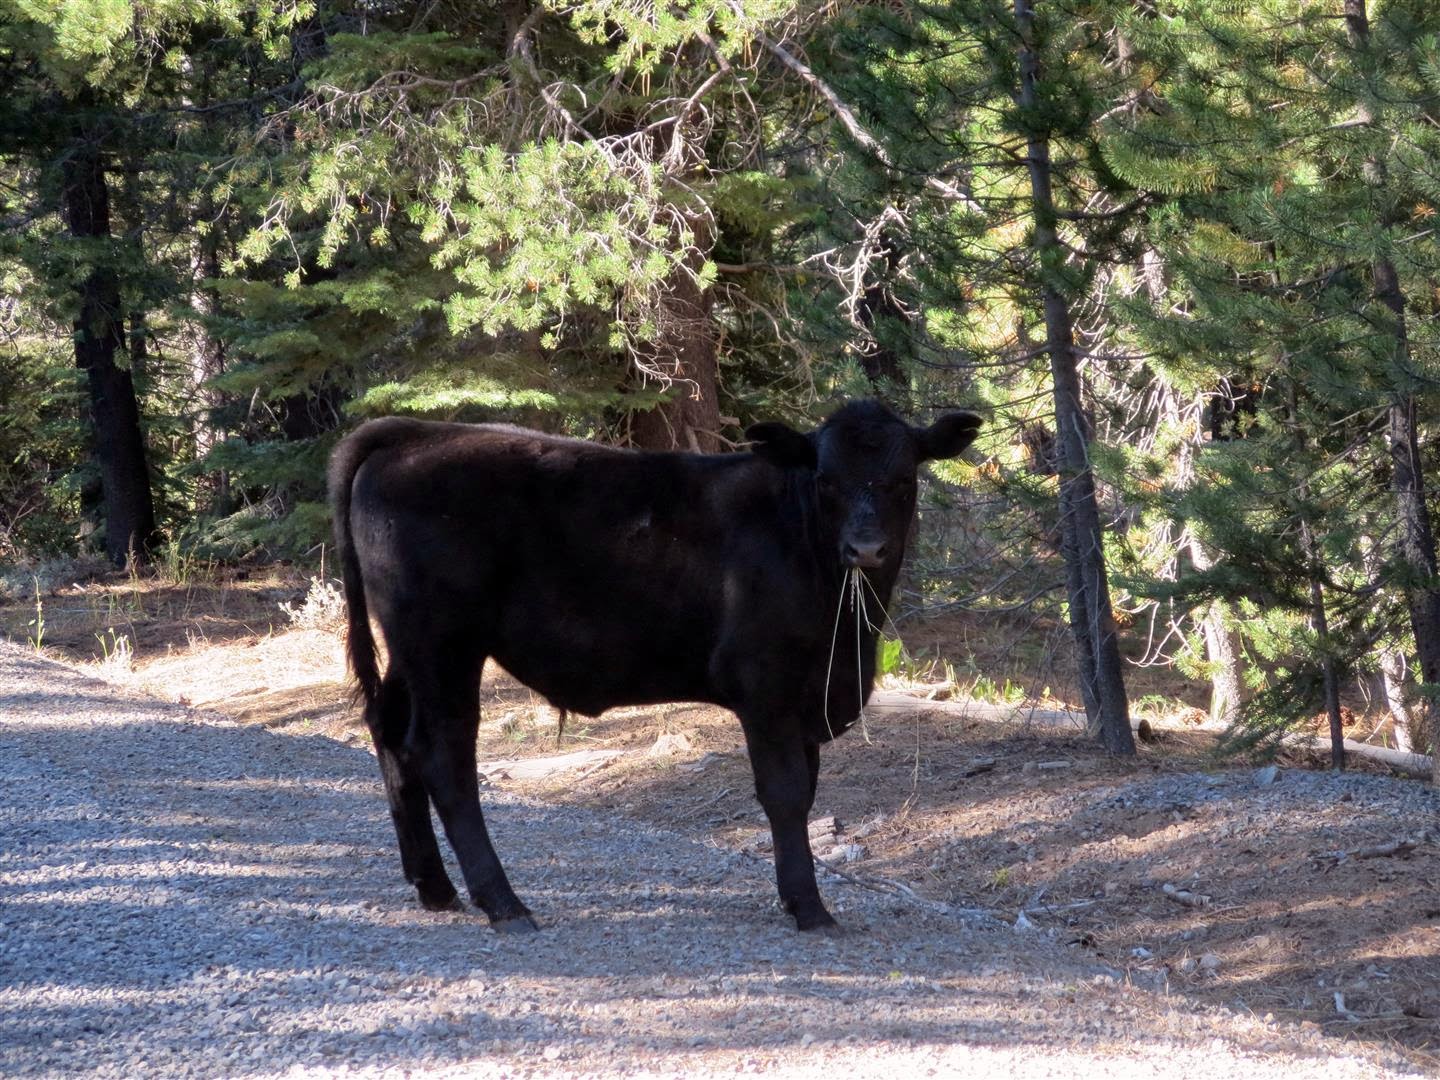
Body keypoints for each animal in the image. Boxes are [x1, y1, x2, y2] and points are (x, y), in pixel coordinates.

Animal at [329, 399, 982, 933]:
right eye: (826, 480)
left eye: (904, 479)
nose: (865, 549)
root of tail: (415, 432)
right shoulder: (765, 684)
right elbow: (787, 793)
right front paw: (809, 907)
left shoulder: (809, 695)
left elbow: (808, 791)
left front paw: (794, 895)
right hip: (444, 644)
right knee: (444, 755)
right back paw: (503, 903)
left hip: (410, 650)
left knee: (393, 734)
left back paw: (435, 887)